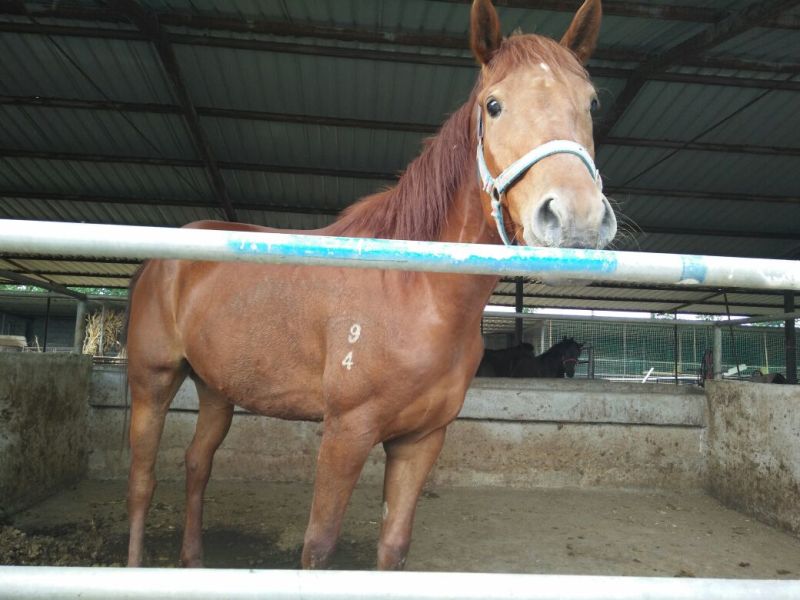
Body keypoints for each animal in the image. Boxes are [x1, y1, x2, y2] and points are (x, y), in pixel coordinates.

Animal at [125, 0, 615, 570]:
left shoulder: (420, 440)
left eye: (591, 102)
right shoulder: (346, 432)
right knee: (142, 480)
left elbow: (393, 548)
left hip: (216, 389)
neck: (412, 290)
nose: (575, 219)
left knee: (196, 464)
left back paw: (194, 563)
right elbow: (318, 547)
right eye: (493, 105)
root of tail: (159, 262)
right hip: (153, 383)